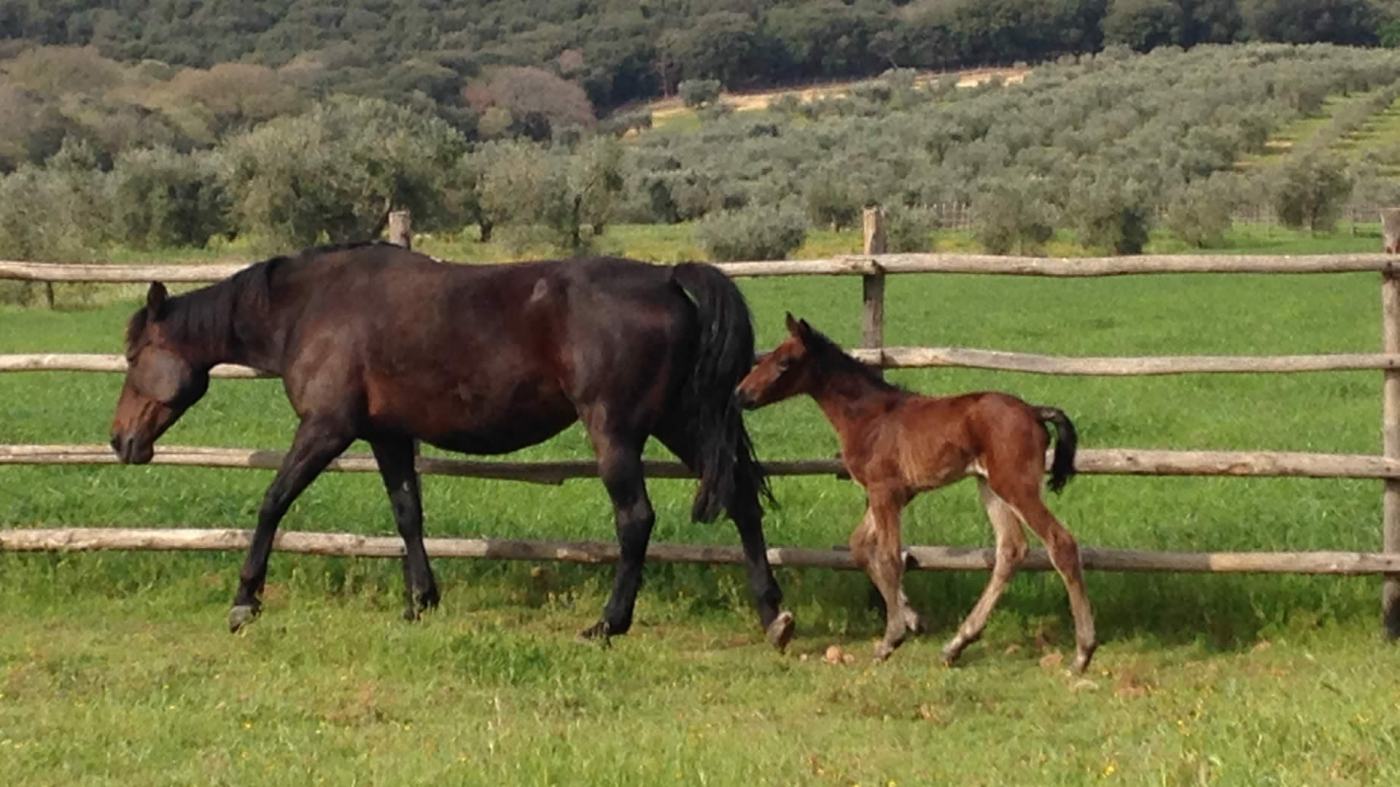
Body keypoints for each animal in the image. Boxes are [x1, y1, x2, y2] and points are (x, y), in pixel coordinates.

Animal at [112, 242, 789, 646]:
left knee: (636, 519)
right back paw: (773, 615)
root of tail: (668, 279)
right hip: (682, 420)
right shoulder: (386, 435)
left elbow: (273, 504)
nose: (120, 440)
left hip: (616, 430)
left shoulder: (327, 429)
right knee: (740, 499)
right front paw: (420, 601)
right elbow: (408, 514)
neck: (312, 307)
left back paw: (607, 624)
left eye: (135, 355)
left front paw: (245, 601)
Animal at [733, 315, 1092, 672]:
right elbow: (860, 547)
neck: (871, 417)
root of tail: (1035, 411)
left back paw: (1082, 653)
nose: (741, 394)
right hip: (990, 486)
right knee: (1011, 550)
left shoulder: (884, 491)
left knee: (1060, 543)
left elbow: (889, 557)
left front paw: (891, 639)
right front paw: (912, 619)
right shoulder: (897, 493)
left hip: (1015, 485)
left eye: (784, 362)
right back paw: (956, 645)